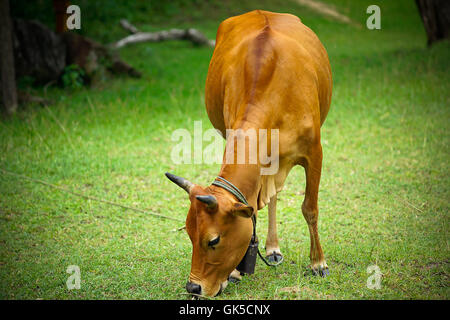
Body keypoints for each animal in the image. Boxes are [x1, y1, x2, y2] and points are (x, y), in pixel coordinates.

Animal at [165, 10, 330, 298]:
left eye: (213, 240)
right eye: (189, 234)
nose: (193, 287)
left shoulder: (314, 152)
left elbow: (310, 208)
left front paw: (317, 262)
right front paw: (234, 272)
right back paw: (272, 247)